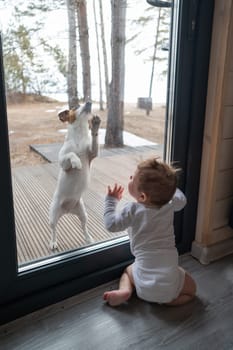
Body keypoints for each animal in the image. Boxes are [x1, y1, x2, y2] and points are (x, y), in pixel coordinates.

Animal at [48, 100, 100, 250]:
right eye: (76, 106)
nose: (89, 101)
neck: (79, 136)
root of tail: (67, 210)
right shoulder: (63, 163)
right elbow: (71, 154)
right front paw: (77, 162)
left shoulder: (93, 154)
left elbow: (94, 144)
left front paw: (95, 126)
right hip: (53, 215)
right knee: (53, 229)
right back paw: (53, 242)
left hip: (83, 213)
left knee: (84, 226)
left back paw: (88, 238)